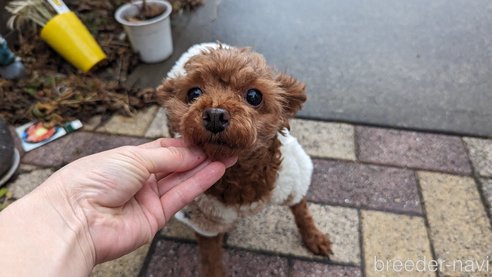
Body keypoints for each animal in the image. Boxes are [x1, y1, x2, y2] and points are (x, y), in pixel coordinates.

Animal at [158, 42, 330, 274]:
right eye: (194, 93)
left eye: (254, 96)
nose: (215, 115)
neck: (240, 172)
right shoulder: (204, 218)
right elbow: (211, 257)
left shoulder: (294, 179)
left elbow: (302, 211)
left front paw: (315, 238)